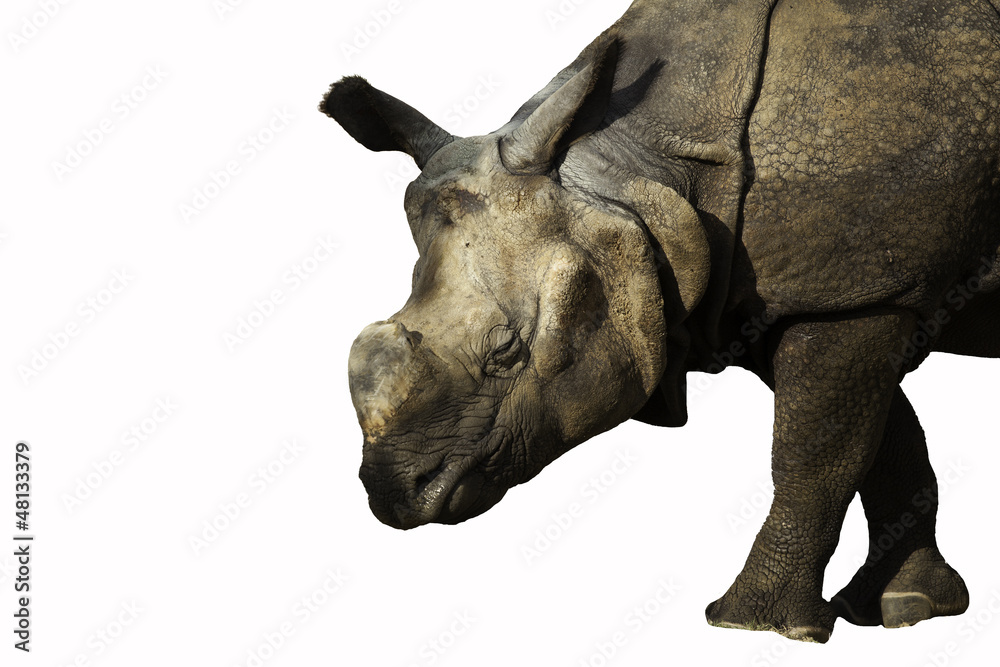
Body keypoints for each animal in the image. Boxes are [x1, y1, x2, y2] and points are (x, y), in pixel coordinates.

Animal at [320, 0, 1000, 642]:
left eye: (506, 352)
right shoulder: (811, 293)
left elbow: (815, 453)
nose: (395, 497)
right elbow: (882, 437)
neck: (642, 174)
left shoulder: (857, 290)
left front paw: (754, 626)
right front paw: (907, 607)